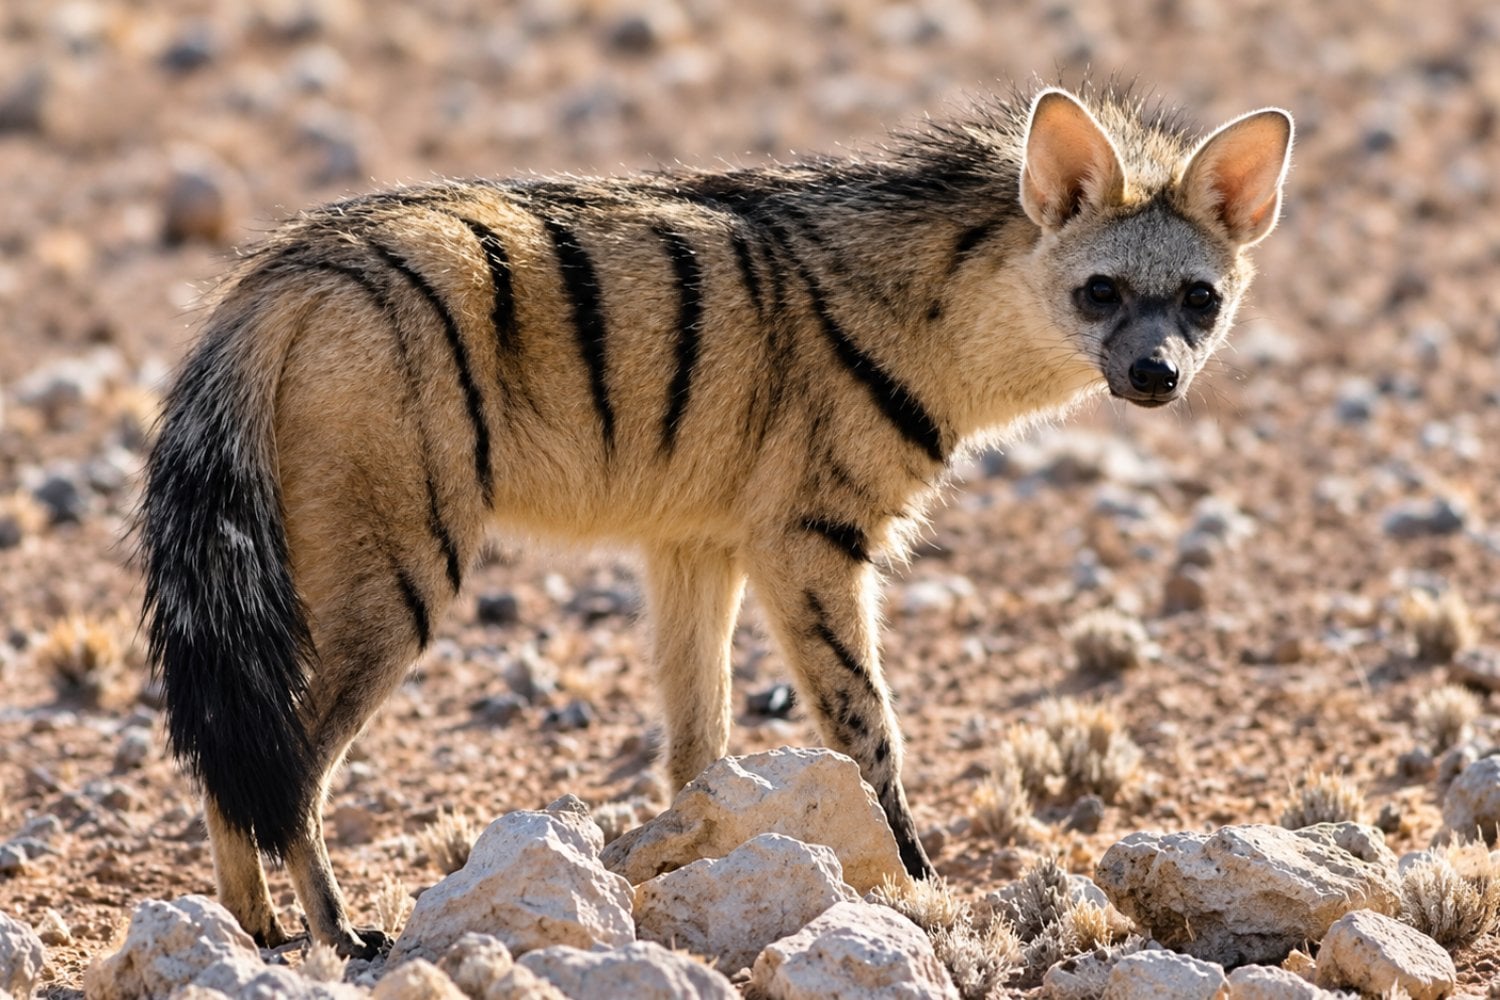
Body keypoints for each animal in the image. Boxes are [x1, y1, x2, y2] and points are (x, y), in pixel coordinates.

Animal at [139, 85, 1292, 956]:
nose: (1155, 374)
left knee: (229, 746)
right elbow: (866, 729)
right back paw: (338, 933)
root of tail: (278, 279)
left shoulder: (694, 543)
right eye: (1101, 290)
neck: (935, 318)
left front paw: (695, 873)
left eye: (1199, 298)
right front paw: (918, 889)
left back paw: (252, 929)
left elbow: (702, 744)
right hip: (404, 561)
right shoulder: (810, 539)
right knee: (290, 753)